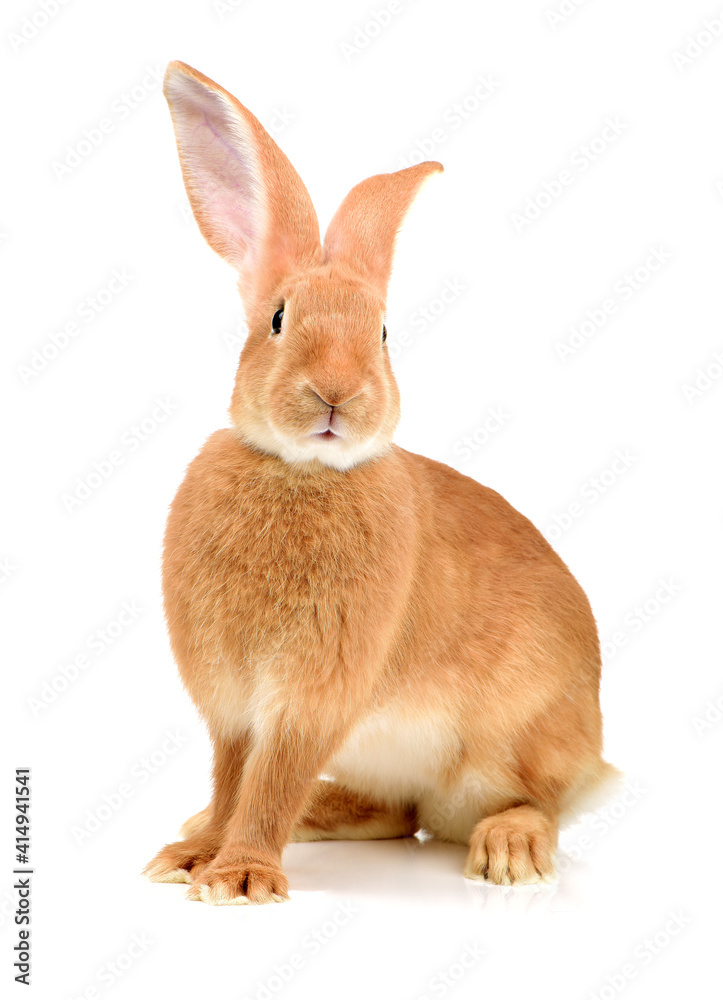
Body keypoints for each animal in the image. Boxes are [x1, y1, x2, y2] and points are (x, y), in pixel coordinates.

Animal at [144, 61, 620, 905]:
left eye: (385, 333)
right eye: (277, 319)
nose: (337, 393)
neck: (300, 472)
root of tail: (593, 757)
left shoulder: (313, 692)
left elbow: (268, 781)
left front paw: (240, 875)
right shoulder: (233, 705)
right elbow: (234, 778)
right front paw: (192, 854)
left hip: (505, 747)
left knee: (532, 804)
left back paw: (507, 852)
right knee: (394, 812)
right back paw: (307, 815)